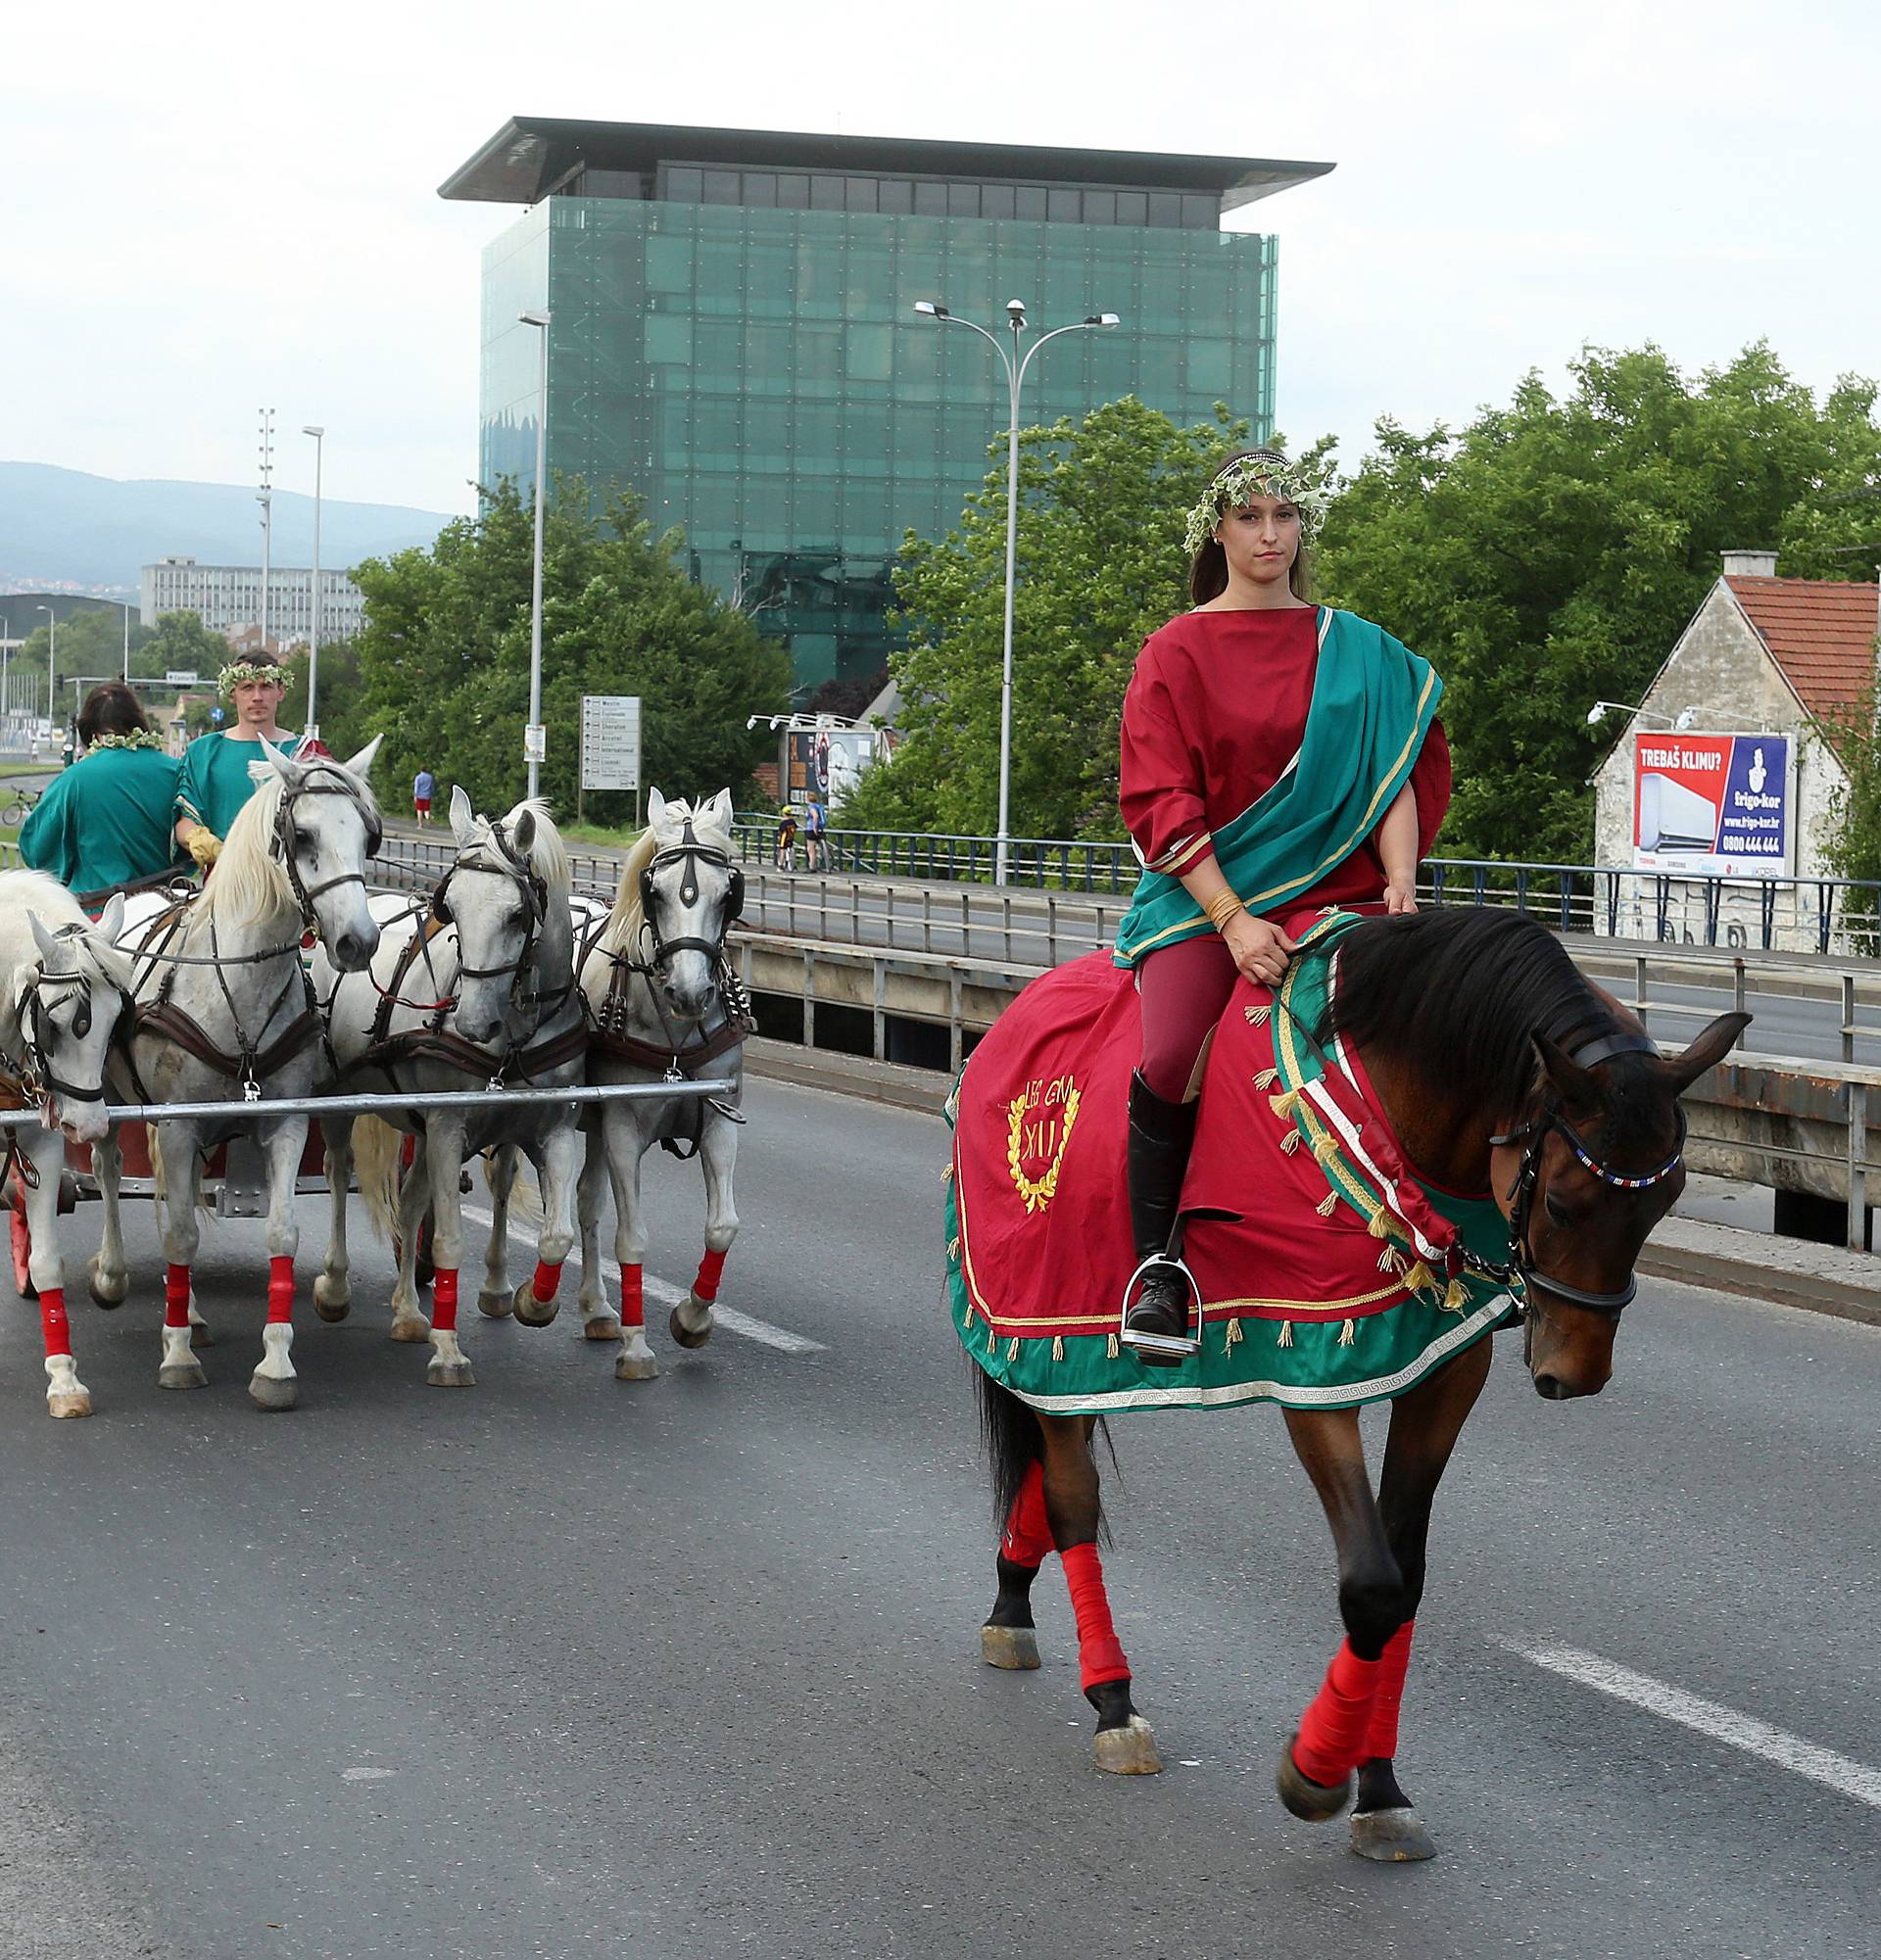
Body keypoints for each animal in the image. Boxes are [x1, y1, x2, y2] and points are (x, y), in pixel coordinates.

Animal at [90, 737, 384, 1410]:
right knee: (110, 1168)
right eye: (302, 835)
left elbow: (280, 1234)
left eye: (369, 836)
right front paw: (177, 1355)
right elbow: (178, 1236)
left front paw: (275, 1364)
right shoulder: (177, 1125)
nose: (359, 941)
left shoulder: (284, 1125)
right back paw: (116, 1275)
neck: (239, 992)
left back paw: (193, 1312)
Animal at [315, 788, 584, 1387]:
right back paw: (336, 1285)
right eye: (451, 909)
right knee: (339, 1171)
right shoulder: (446, 1125)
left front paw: (534, 1301)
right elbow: (449, 1240)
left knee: (413, 1198)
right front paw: (448, 1350)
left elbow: (558, 1235)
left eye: (517, 914)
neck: (514, 1035)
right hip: (340, 1102)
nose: (473, 1024)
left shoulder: (553, 1130)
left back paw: (408, 1313)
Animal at [568, 788, 745, 1387]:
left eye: (727, 893)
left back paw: (597, 1309)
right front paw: (636, 1345)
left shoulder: (719, 1122)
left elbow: (722, 1227)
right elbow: (632, 1235)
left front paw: (692, 1318)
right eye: (657, 891)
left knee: (586, 1201)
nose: (690, 994)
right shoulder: (623, 1129)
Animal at [972, 909, 1748, 1857]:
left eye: (1668, 1199)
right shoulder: (1314, 1369)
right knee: (1074, 1495)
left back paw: (1013, 1604)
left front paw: (1379, 1785)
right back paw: (1114, 1700)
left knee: (1051, 1470)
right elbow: (1372, 1584)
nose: (1579, 1372)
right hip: (1042, 1325)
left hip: (1073, 1359)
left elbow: (1405, 1579)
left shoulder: (1446, 1369)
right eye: (1565, 1201)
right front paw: (1314, 1769)